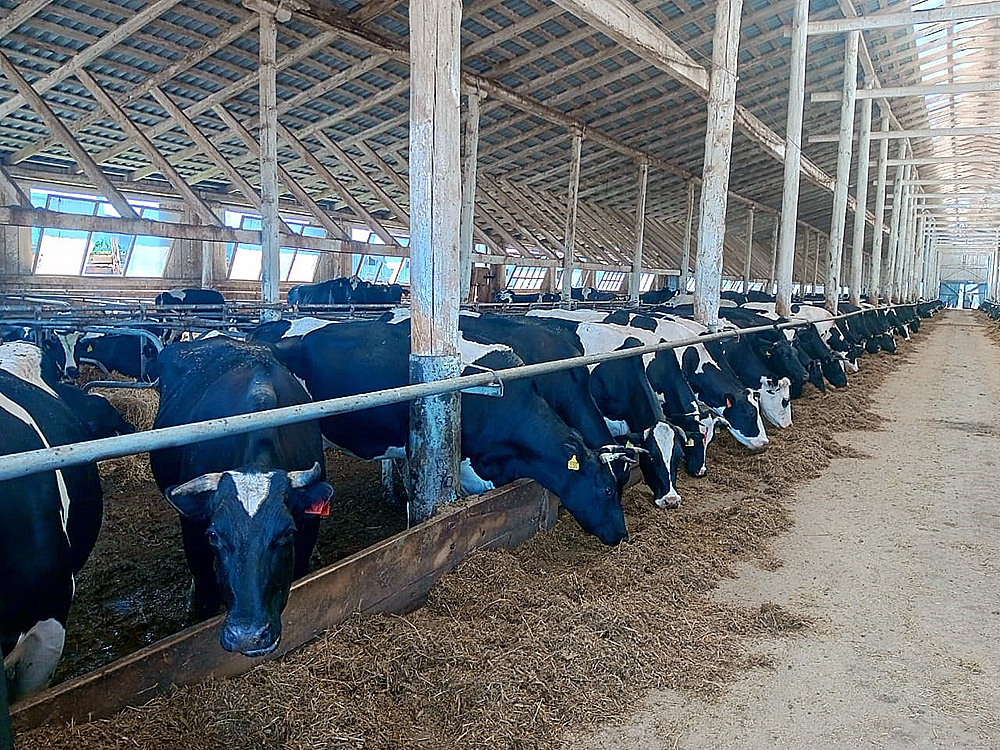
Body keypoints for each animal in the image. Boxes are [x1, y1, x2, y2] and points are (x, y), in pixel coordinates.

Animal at [149, 340, 332, 656]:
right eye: (213, 535)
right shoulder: (193, 530)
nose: (247, 635)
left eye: (288, 532)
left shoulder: (307, 531)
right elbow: (206, 593)